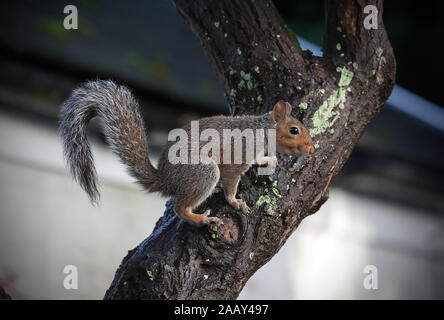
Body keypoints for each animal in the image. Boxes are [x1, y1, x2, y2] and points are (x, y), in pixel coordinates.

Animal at [59, 80, 316, 228]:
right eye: (294, 130)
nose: (312, 149)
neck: (260, 131)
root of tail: (164, 180)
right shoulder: (237, 157)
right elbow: (232, 182)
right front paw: (236, 202)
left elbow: (258, 159)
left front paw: (268, 159)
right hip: (202, 172)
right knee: (179, 208)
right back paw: (201, 219)